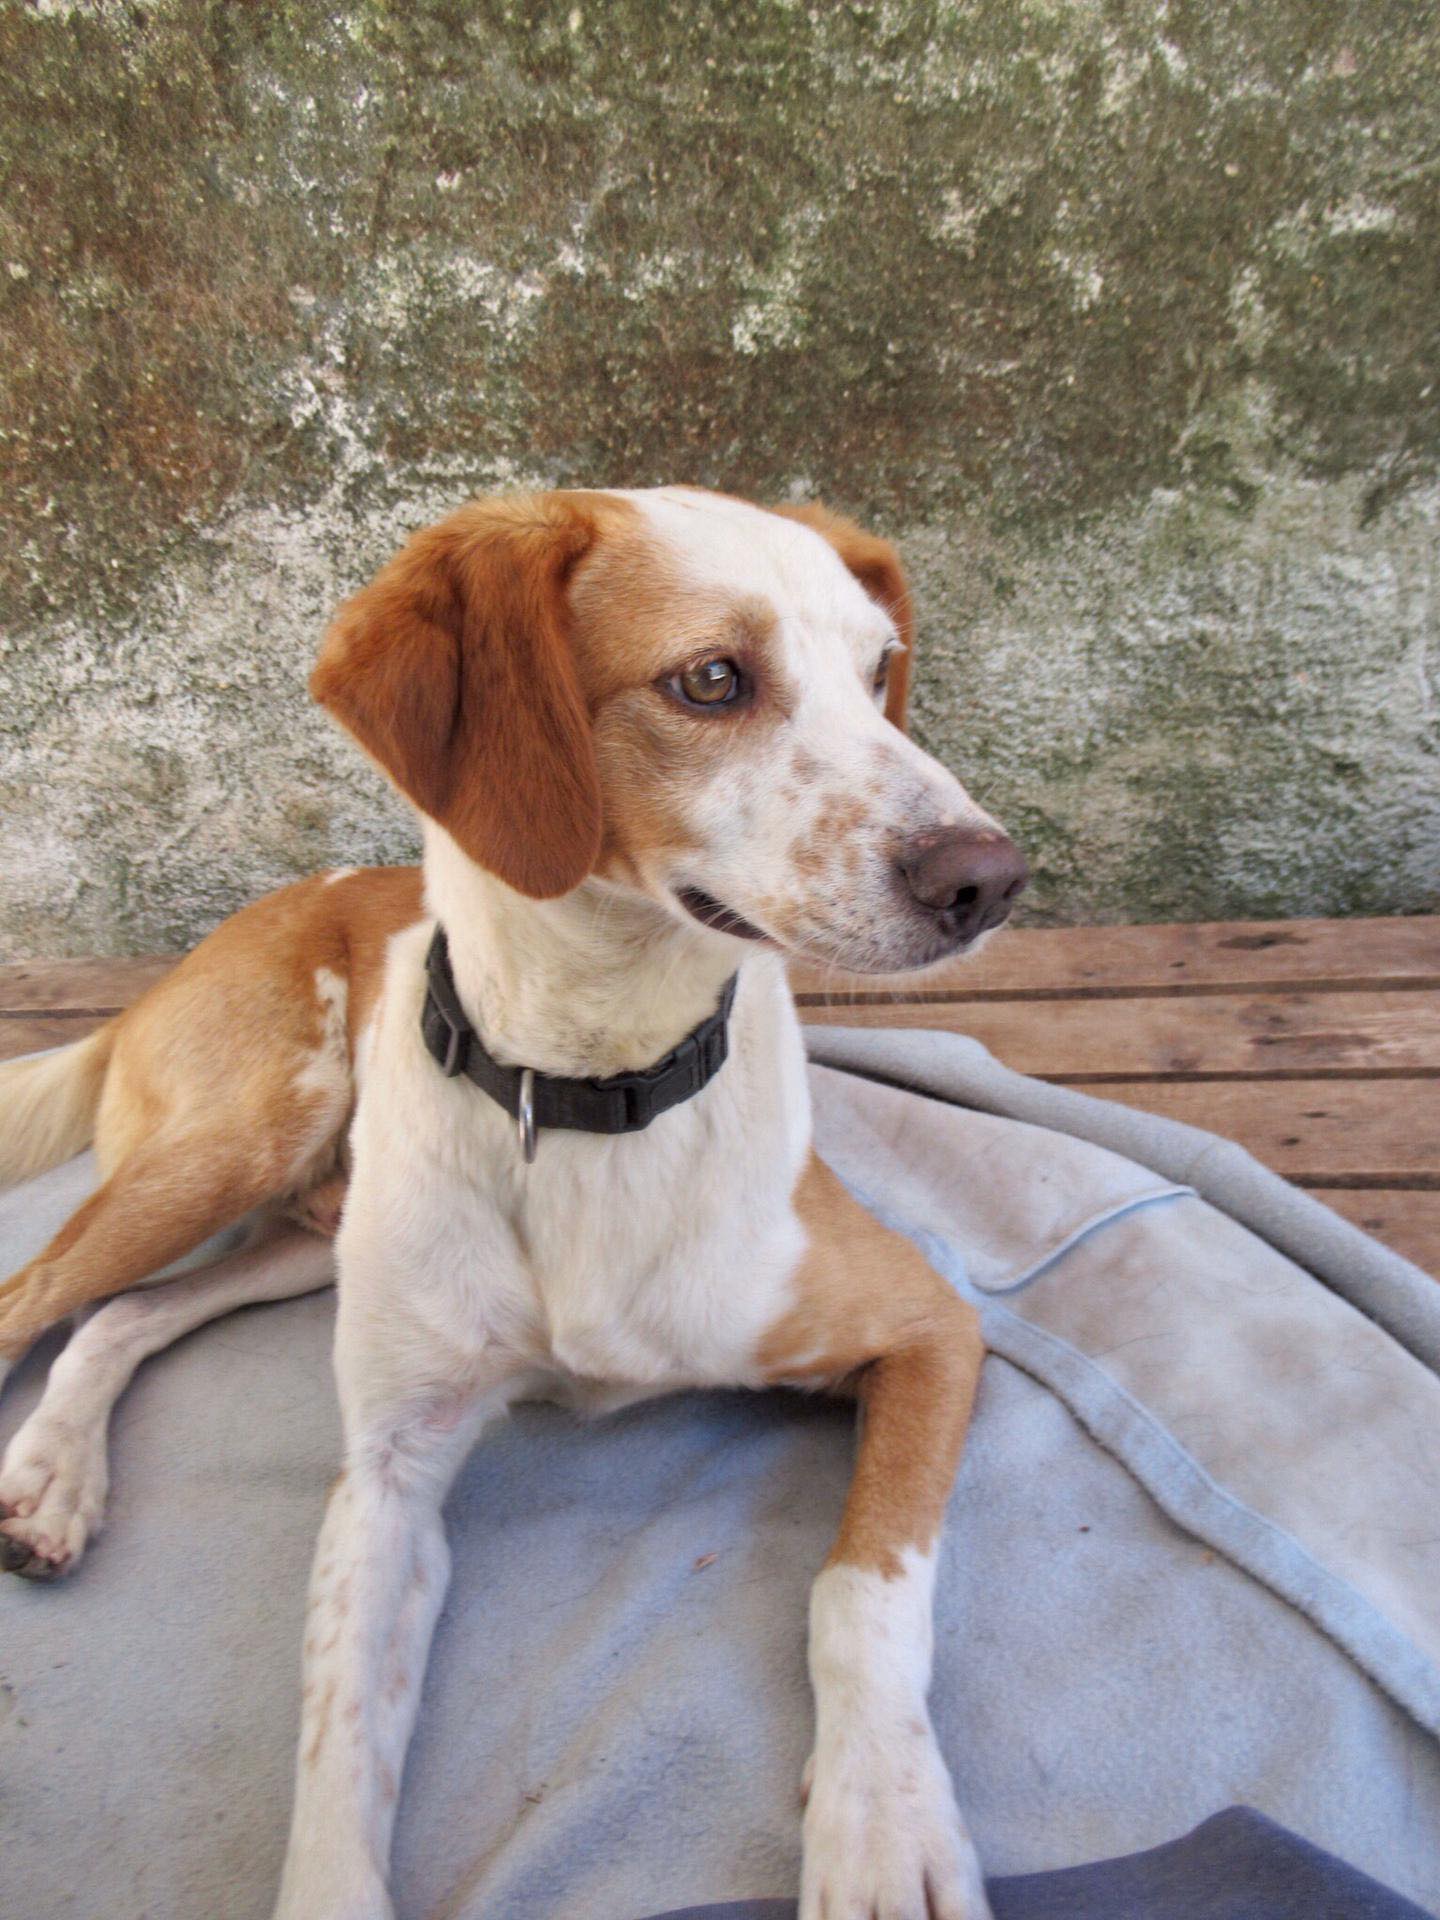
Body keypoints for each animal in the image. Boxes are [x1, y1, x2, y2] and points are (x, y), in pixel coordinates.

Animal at [0, 488, 1027, 1920]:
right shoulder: (390, 1477)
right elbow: (337, 1755)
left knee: (122, 1313)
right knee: (39, 1291)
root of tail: (204, 946)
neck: (595, 1084)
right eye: (712, 679)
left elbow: (861, 1583)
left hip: (313, 1228)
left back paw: (52, 1476)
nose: (991, 878)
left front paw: (881, 1823)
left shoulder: (930, 1327)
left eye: (881, 674)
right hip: (242, 1138)